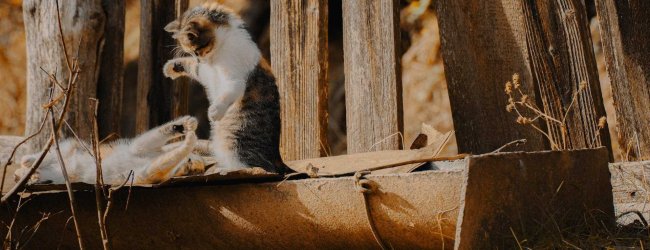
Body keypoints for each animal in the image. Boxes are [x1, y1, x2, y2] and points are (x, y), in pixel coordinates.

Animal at [13, 116, 204, 185]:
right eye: (191, 161)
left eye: (192, 167)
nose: (189, 163)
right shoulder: (140, 148)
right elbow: (145, 141)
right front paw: (182, 126)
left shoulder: (148, 174)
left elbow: (160, 163)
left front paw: (188, 142)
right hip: (71, 148)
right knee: (51, 154)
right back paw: (29, 161)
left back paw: (31, 175)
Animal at [165, 2, 288, 174]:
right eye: (192, 53)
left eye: (197, 51)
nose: (200, 59)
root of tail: (277, 158)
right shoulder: (206, 72)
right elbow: (195, 68)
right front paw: (172, 67)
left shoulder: (235, 79)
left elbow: (229, 91)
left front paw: (215, 111)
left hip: (233, 142)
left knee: (256, 167)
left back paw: (225, 169)